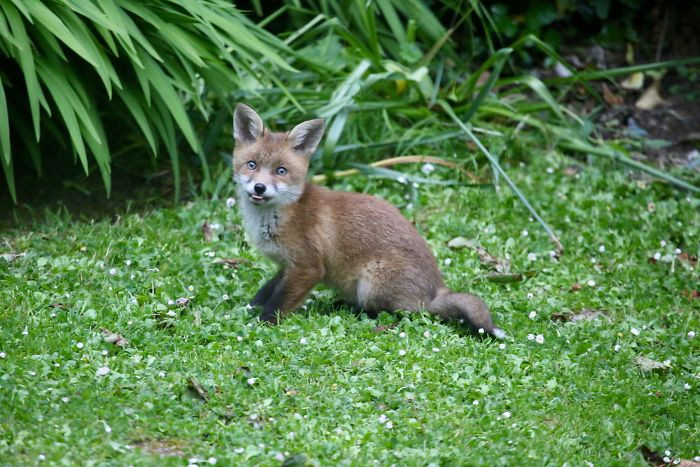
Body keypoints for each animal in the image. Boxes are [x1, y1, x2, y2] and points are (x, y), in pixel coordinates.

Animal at [234, 104, 504, 338]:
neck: (275, 217)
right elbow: (267, 291)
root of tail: (435, 290)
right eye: (252, 165)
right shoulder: (287, 266)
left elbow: (278, 303)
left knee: (409, 314)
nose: (260, 187)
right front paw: (249, 308)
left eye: (281, 171)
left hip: (371, 284)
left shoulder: (308, 266)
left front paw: (262, 323)